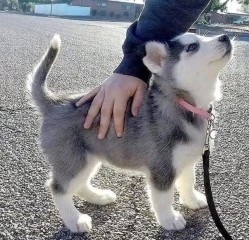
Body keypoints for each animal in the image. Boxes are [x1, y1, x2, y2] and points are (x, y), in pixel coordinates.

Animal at [27, 33, 233, 232]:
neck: (185, 104)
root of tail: (55, 103)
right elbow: (163, 197)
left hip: (88, 158)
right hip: (73, 158)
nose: (225, 37)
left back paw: (99, 197)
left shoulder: (187, 159)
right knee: (58, 188)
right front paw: (169, 219)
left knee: (79, 184)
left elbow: (188, 181)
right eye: (192, 46)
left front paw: (192, 200)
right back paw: (75, 220)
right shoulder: (162, 166)